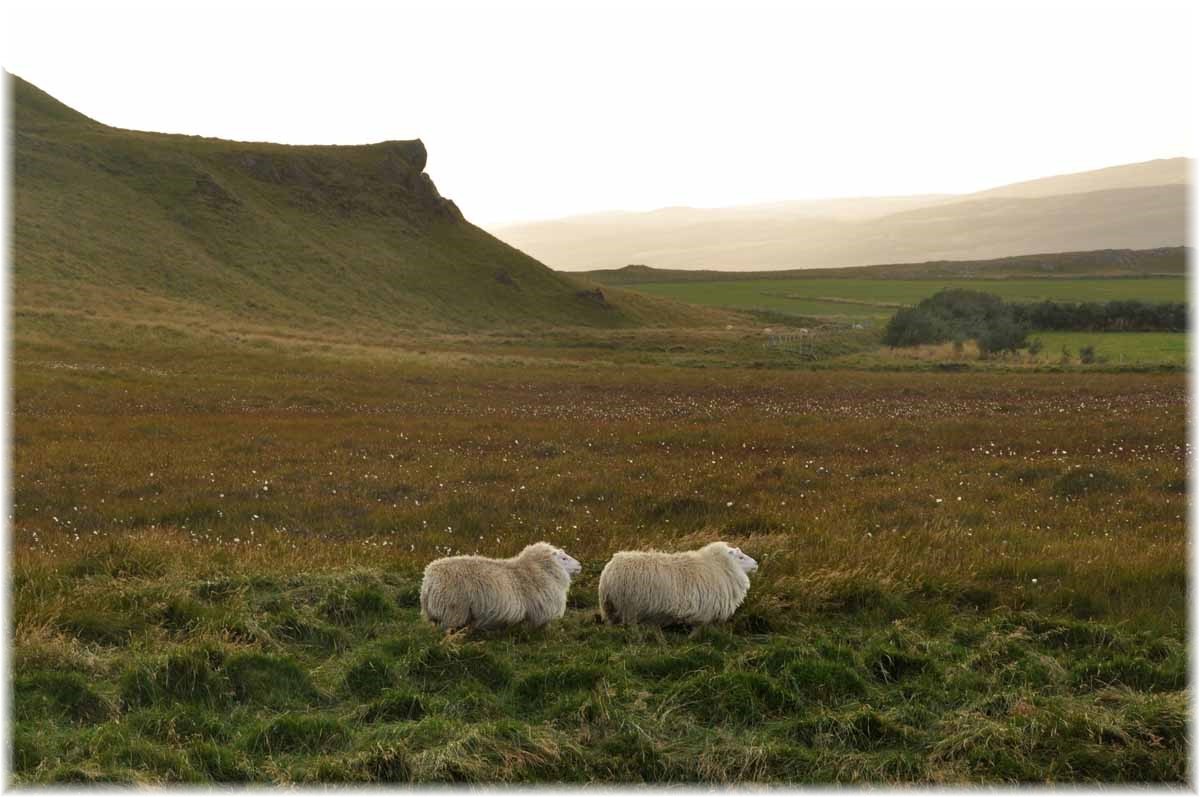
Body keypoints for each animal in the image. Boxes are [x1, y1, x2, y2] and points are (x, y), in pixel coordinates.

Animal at [600, 544, 758, 624]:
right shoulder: (706, 613)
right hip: (629, 606)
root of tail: (610, 568)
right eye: (741, 557)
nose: (756, 563)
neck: (720, 566)